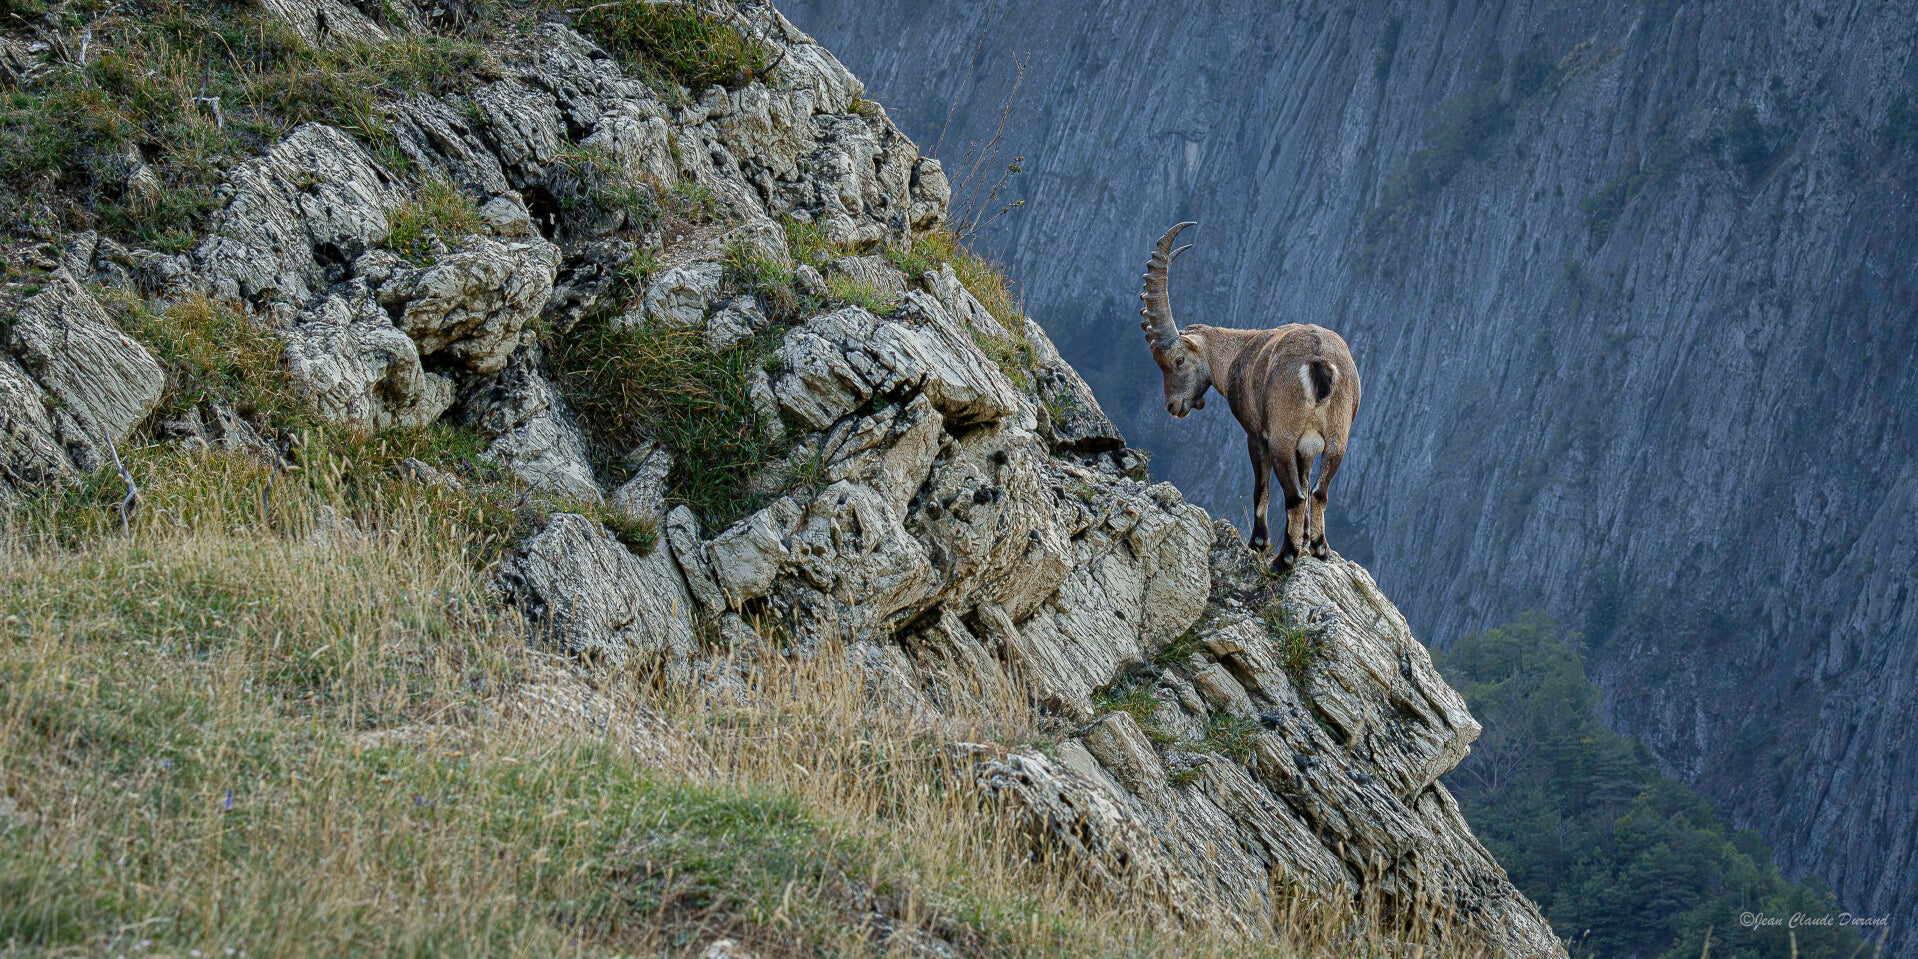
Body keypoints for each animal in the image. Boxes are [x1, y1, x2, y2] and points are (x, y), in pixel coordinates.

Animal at [1138, 222, 1361, 572]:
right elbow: (1306, 480)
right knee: (1318, 492)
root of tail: (1319, 361)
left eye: (1178, 360)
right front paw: (1306, 538)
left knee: (1294, 496)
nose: (1173, 406)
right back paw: (1319, 548)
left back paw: (1283, 559)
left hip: (1283, 436)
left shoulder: (1256, 434)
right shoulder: (1307, 446)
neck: (1236, 353)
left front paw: (1258, 543)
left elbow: (1261, 488)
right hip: (1338, 436)